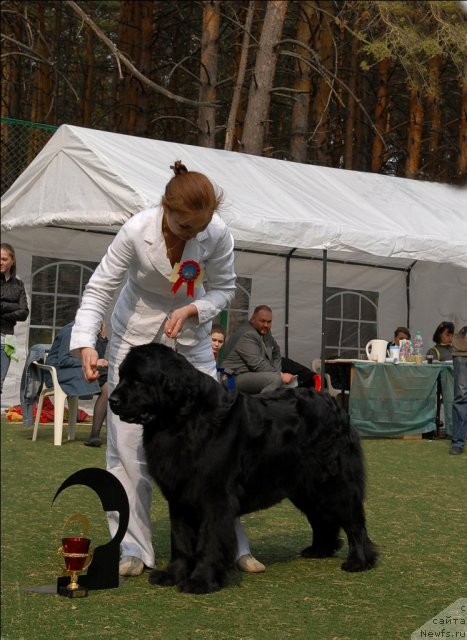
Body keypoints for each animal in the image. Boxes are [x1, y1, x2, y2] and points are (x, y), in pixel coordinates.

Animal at [109, 342, 376, 592]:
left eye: (138, 380)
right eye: (121, 376)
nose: (112, 400)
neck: (182, 421)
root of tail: (334, 404)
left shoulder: (214, 495)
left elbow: (210, 538)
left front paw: (201, 580)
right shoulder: (179, 495)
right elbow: (181, 539)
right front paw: (173, 575)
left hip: (333, 481)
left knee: (354, 522)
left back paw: (359, 561)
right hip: (304, 486)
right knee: (321, 516)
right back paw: (320, 549)